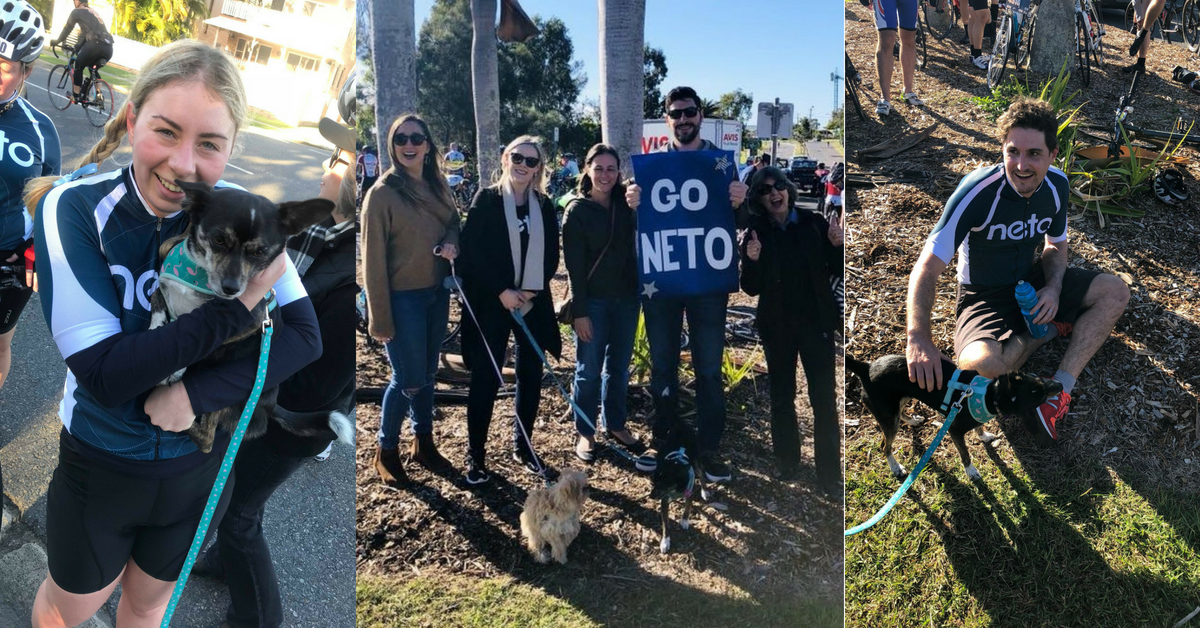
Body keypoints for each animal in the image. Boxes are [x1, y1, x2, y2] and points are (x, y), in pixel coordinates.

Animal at [844, 353, 1060, 482]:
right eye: (1041, 397)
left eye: (1040, 379)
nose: (1060, 385)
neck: (989, 395)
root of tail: (865, 367)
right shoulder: (955, 431)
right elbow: (965, 454)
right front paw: (971, 471)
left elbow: (979, 428)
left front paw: (984, 436)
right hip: (888, 416)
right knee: (884, 445)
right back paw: (895, 467)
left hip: (901, 400)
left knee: (901, 413)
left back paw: (913, 420)